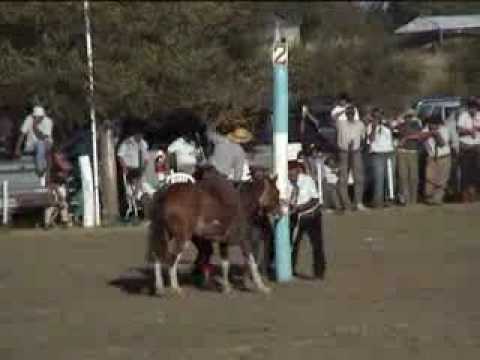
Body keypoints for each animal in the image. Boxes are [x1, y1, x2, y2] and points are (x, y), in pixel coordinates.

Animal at [148, 165, 280, 296]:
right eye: (276, 192)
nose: (279, 212)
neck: (242, 203)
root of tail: (166, 194)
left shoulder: (224, 242)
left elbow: (225, 264)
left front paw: (226, 288)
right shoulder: (244, 240)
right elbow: (252, 263)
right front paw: (262, 287)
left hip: (165, 234)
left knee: (158, 256)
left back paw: (160, 288)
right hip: (182, 237)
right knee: (172, 258)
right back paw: (176, 288)